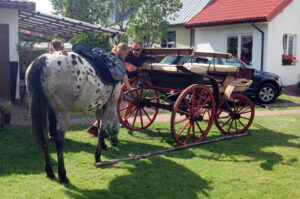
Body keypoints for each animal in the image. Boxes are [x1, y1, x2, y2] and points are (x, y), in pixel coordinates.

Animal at [25, 50, 123, 183]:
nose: (115, 142)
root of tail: (43, 59)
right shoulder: (110, 105)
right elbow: (102, 129)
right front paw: (97, 157)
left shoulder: (98, 106)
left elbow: (99, 125)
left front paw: (102, 145)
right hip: (62, 113)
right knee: (59, 141)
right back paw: (63, 175)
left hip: (44, 109)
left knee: (45, 139)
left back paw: (50, 172)